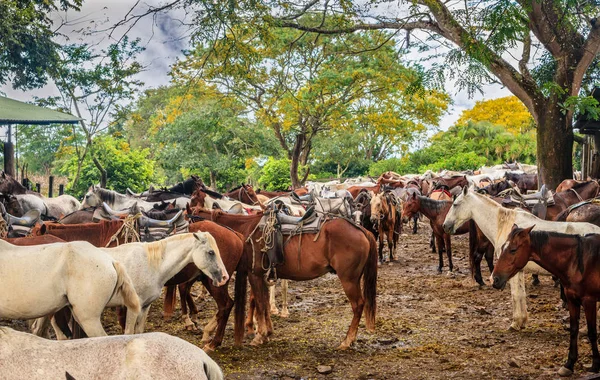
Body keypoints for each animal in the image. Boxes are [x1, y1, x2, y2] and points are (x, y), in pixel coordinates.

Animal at [185, 206, 378, 348]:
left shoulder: (254, 274)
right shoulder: (262, 276)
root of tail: (361, 230)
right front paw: (266, 332)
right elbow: (263, 303)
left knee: (358, 305)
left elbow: (260, 302)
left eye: (186, 226)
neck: (244, 231)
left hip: (349, 279)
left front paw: (260, 335)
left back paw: (347, 341)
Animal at [440, 189, 600, 332]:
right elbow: (521, 295)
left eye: (455, 204)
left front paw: (515, 323)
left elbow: (515, 295)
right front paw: (522, 322)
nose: (445, 226)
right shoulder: (519, 271)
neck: (503, 224)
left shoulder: (512, 272)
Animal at [492, 226, 600, 378]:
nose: (495, 279)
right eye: (502, 247)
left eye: (513, 249)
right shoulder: (572, 300)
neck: (578, 261)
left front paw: (595, 365)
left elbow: (592, 332)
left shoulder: (589, 301)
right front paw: (569, 364)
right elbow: (574, 330)